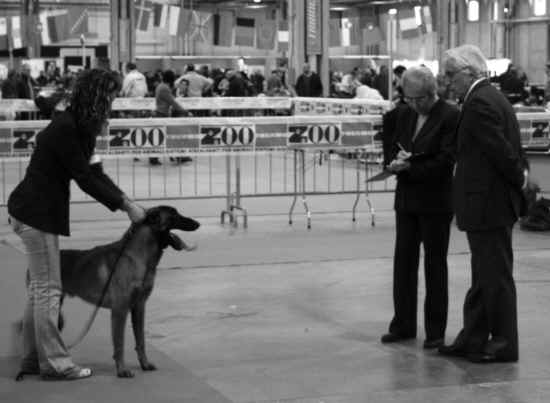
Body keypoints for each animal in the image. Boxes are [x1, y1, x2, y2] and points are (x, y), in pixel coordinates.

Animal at [59, 205, 201, 378]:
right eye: (173, 215)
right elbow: (119, 343)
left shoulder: (139, 306)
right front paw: (122, 370)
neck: (138, 257)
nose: (197, 223)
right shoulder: (120, 310)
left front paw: (144, 364)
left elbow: (140, 340)